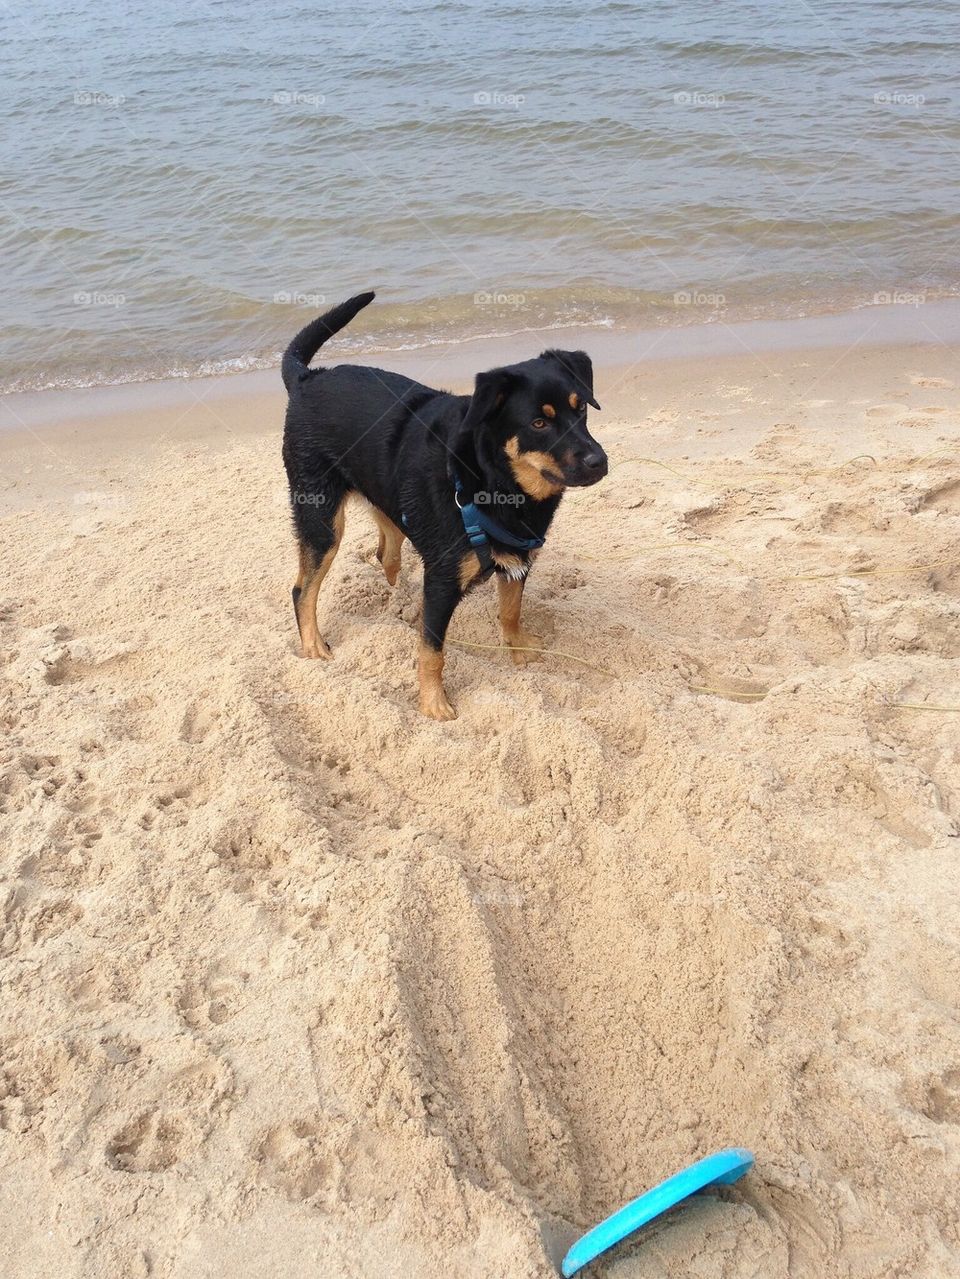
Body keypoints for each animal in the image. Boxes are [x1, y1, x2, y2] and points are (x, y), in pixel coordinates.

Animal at [279, 292, 608, 726]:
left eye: (581, 409)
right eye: (539, 423)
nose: (599, 461)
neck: (494, 480)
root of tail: (306, 379)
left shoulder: (517, 561)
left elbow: (511, 611)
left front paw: (518, 647)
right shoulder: (442, 582)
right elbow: (432, 650)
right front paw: (433, 703)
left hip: (383, 496)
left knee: (387, 550)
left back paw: (397, 600)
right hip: (321, 520)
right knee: (303, 589)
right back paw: (314, 644)